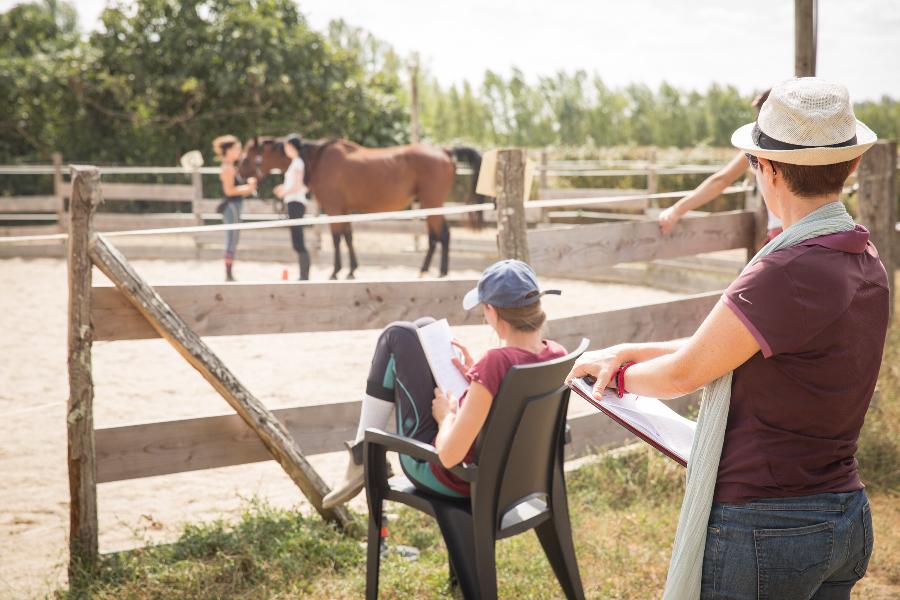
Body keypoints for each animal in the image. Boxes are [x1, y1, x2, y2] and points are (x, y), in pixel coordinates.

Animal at [236, 136, 482, 278]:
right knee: (437, 236)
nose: (238, 178)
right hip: (429, 205)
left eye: (246, 158)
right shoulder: (344, 210)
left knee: (441, 235)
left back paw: (435, 272)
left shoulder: (334, 208)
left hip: (432, 203)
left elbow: (337, 239)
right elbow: (348, 237)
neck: (318, 160)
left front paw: (336, 272)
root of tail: (445, 151)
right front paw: (352, 270)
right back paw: (430, 271)